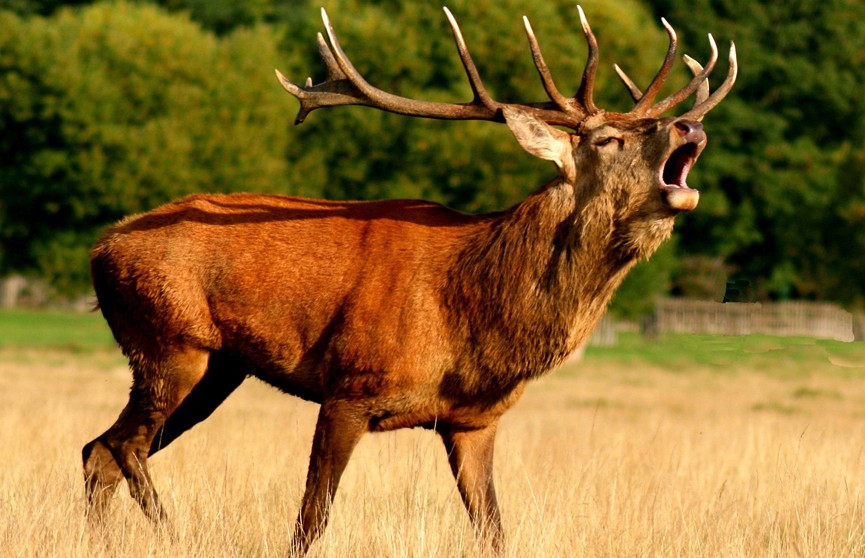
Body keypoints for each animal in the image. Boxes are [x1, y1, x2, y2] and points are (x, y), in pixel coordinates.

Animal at [82, 5, 736, 558]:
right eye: (606, 139)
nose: (688, 127)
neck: (473, 317)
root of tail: (100, 248)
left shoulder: (474, 420)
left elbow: (494, 531)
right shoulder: (349, 385)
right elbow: (311, 520)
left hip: (219, 368)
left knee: (99, 451)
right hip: (169, 341)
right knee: (121, 445)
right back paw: (172, 532)